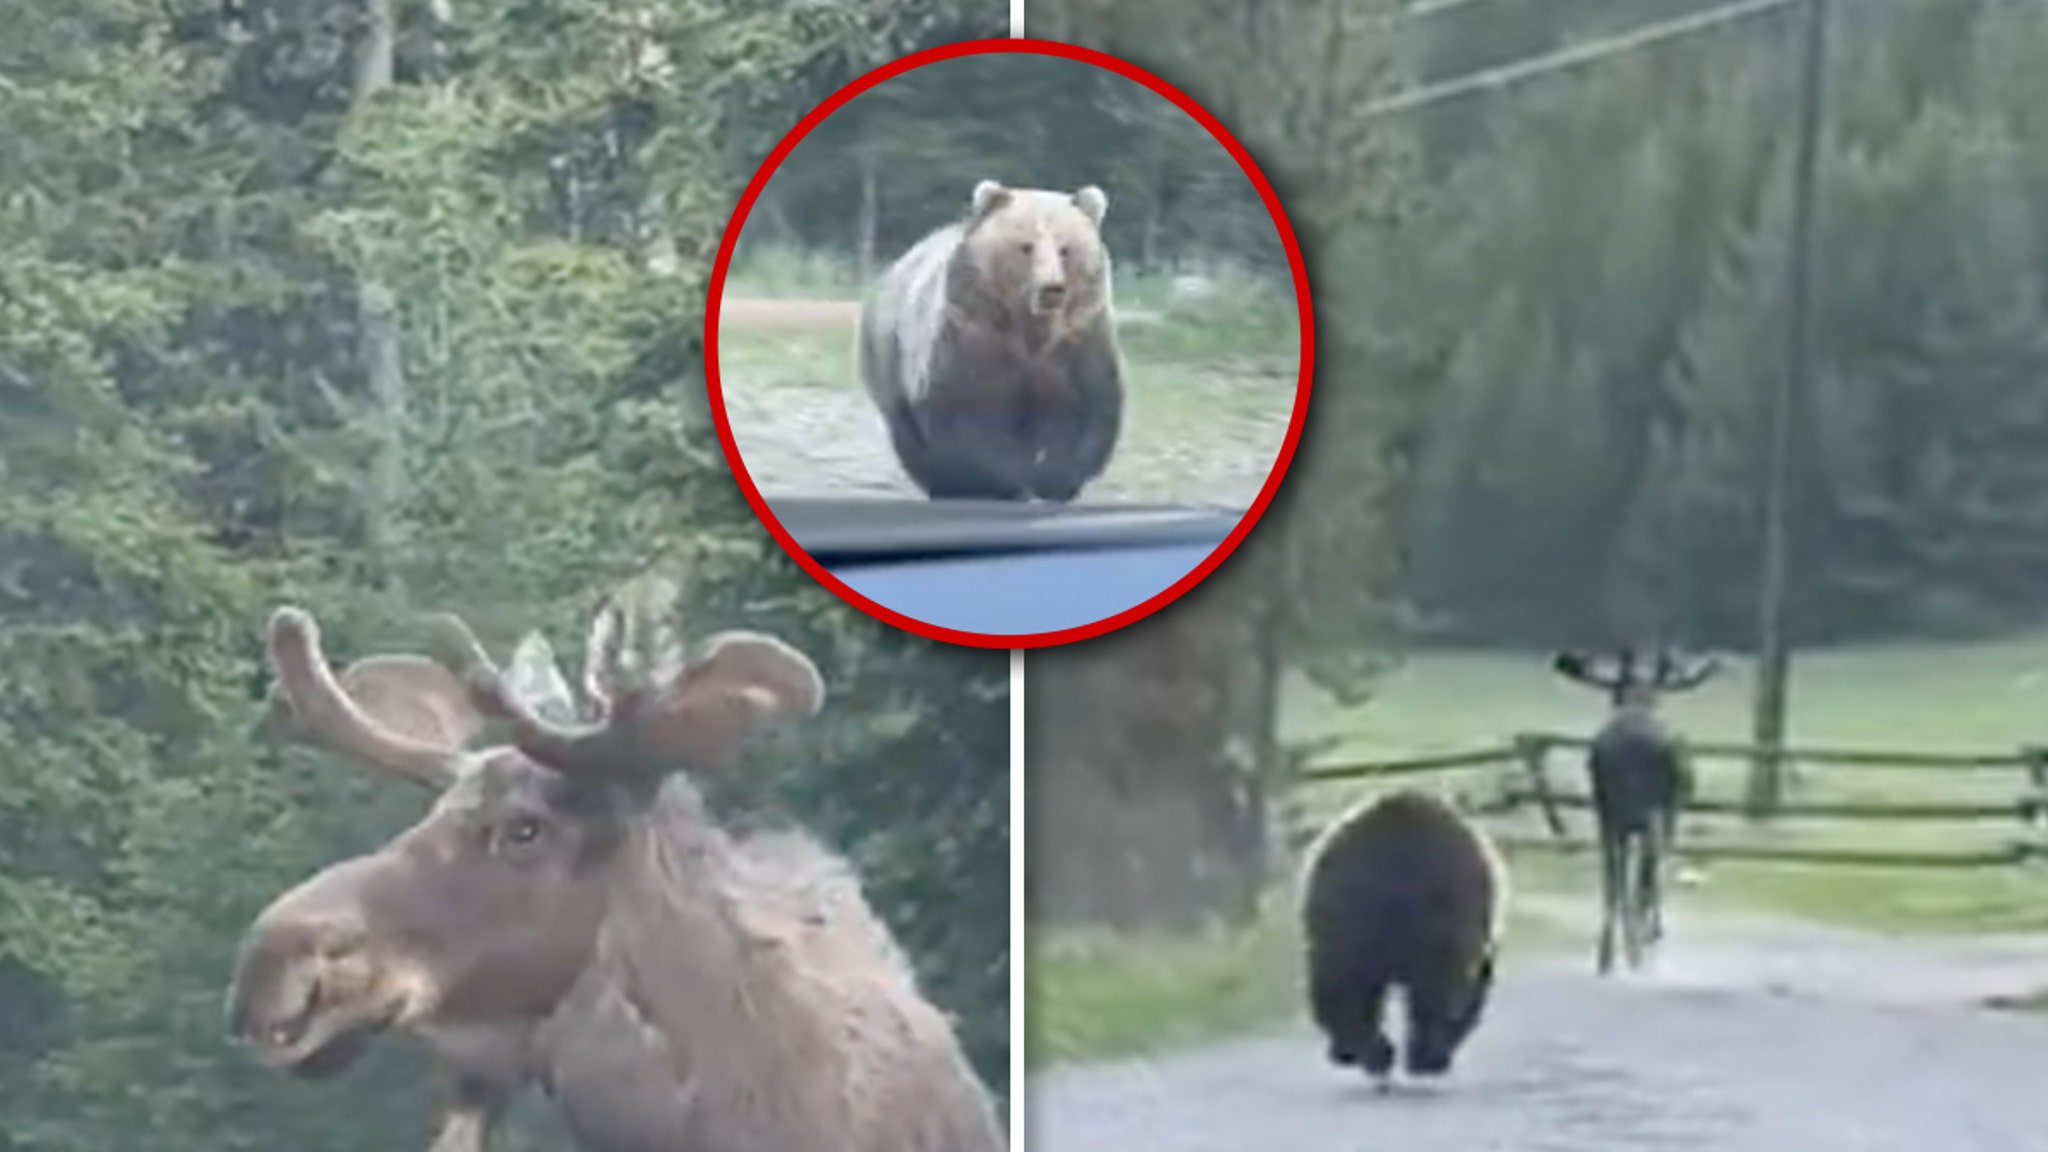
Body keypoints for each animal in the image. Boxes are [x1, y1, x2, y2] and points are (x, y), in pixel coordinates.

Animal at [856, 177, 1130, 500]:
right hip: (891, 356)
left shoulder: (1079, 339)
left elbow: (1085, 412)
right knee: (911, 437)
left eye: (1065, 248)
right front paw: (999, 482)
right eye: (1026, 246)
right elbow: (969, 420)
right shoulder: (972, 338)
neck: (1029, 329)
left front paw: (1053, 480)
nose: (1051, 288)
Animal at [1556, 639, 1720, 971]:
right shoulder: (1669, 815)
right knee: (1646, 868)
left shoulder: (1614, 818)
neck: (1638, 701)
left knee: (1612, 875)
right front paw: (1653, 930)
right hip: (1651, 812)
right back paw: (1638, 942)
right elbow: (1656, 871)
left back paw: (1609, 950)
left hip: (1607, 814)